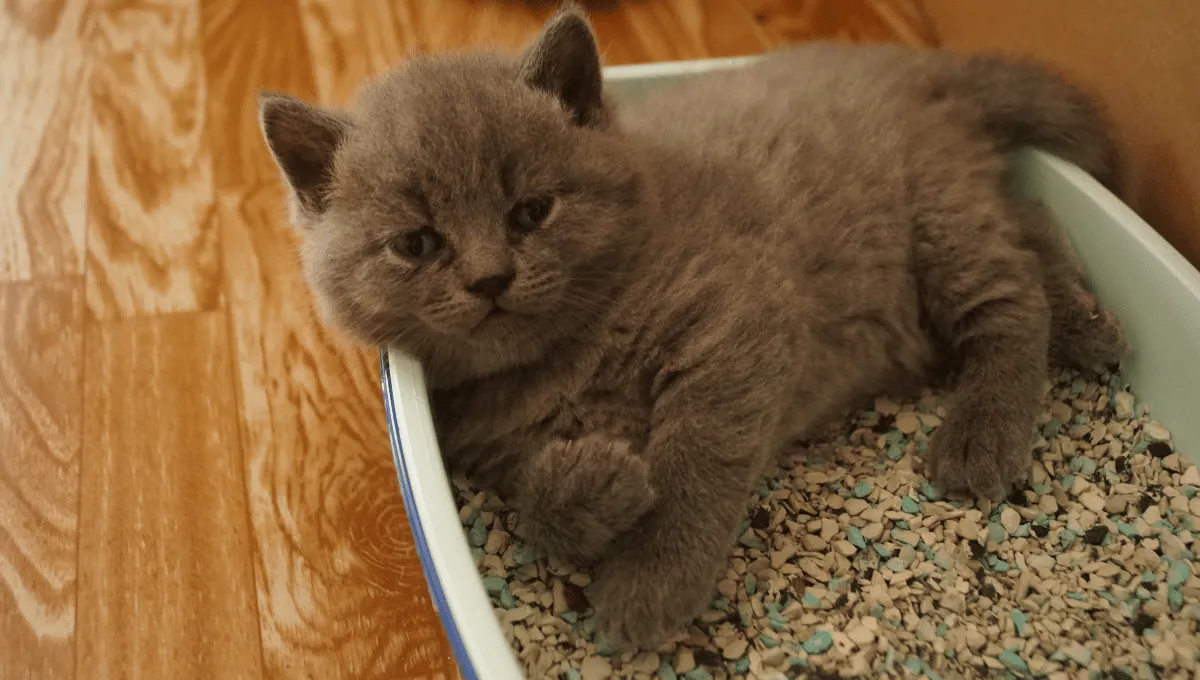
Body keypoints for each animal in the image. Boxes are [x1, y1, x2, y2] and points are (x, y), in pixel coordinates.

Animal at [260, 7, 1123, 652]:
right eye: (416, 244)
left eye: (532, 211)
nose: (489, 279)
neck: (563, 358)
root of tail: (914, 65)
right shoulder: (496, 450)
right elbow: (537, 508)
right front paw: (594, 488)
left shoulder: (736, 318)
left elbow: (697, 456)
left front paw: (652, 577)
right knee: (1029, 218)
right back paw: (1092, 325)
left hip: (933, 210)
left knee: (1011, 297)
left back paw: (985, 432)